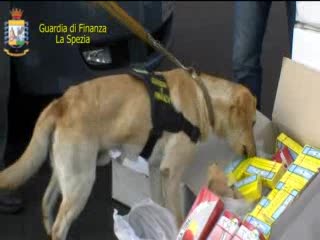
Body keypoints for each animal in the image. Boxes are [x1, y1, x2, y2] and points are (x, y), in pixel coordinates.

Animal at [0, 68, 256, 240]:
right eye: (252, 122)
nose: (253, 153)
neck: (204, 97)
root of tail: (61, 102)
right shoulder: (172, 173)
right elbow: (178, 214)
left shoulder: (157, 169)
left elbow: (159, 203)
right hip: (81, 181)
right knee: (60, 225)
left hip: (66, 174)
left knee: (46, 203)